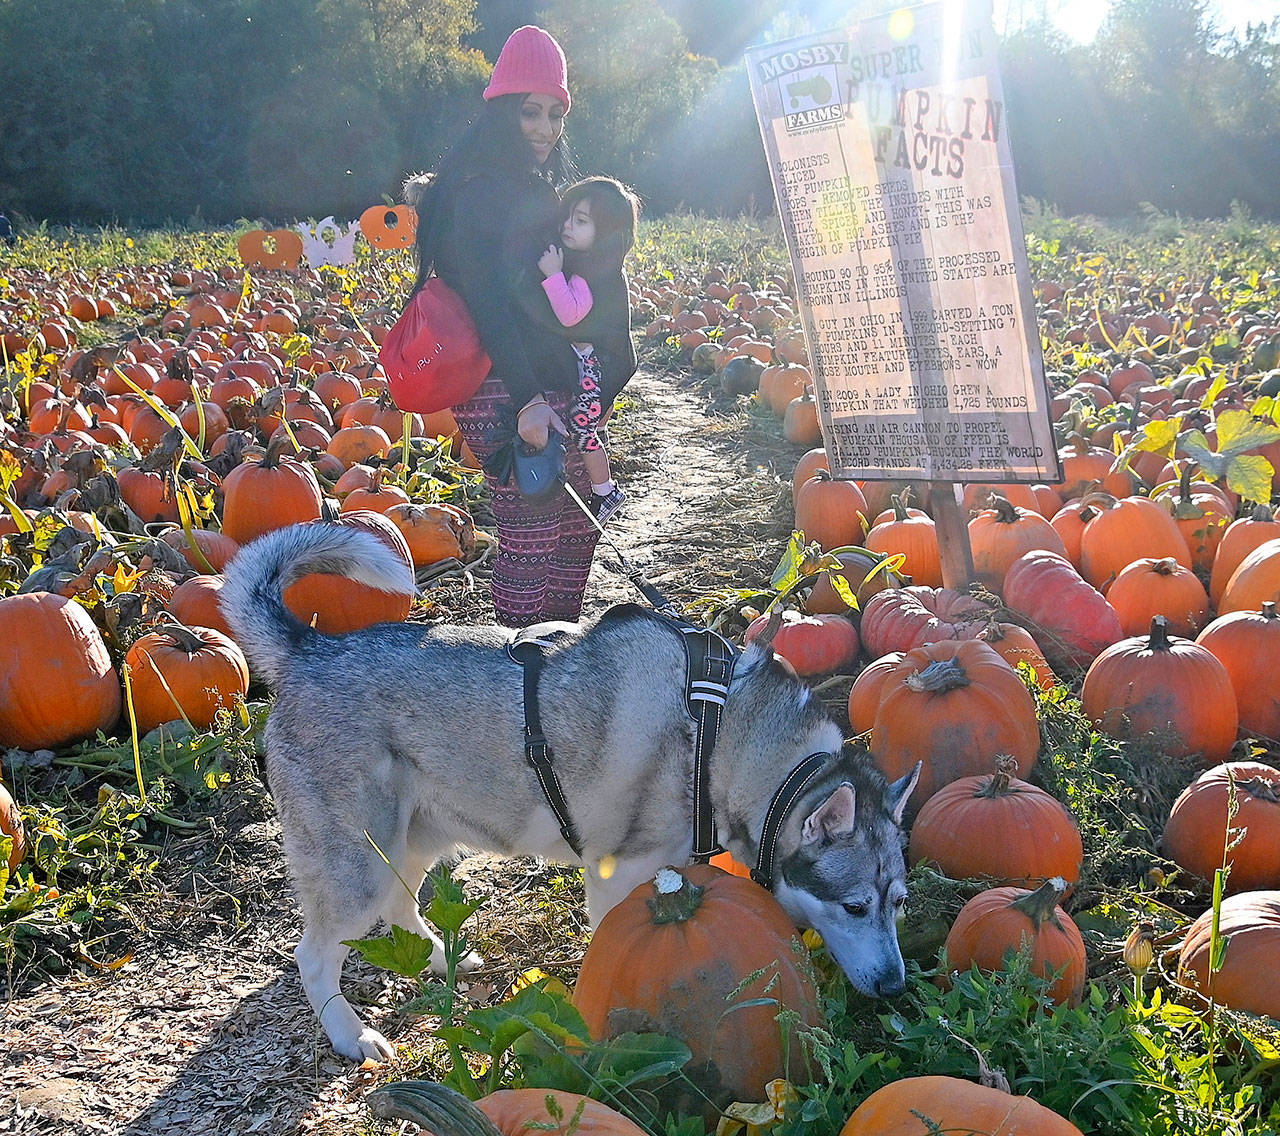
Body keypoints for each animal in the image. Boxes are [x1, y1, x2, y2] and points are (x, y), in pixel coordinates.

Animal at [220, 527, 921, 1064]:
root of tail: (309, 649)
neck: (724, 735)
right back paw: (350, 1036)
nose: (895, 987)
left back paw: (442, 959)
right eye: (856, 907)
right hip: (359, 865)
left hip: (412, 841)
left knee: (400, 905)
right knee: (316, 955)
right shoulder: (618, 877)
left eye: (898, 903)